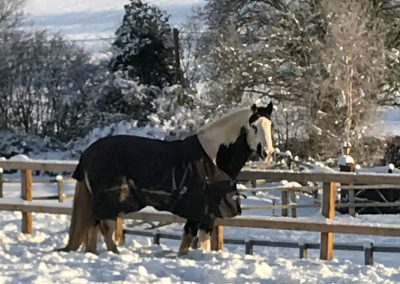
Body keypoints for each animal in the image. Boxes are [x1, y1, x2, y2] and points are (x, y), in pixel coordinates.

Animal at [59, 102, 276, 255]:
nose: (268, 153)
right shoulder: (200, 210)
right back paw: (115, 254)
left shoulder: (207, 213)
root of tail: (89, 152)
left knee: (94, 227)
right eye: (254, 126)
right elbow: (190, 241)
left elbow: (197, 242)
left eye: (271, 126)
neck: (211, 157)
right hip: (108, 200)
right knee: (103, 227)